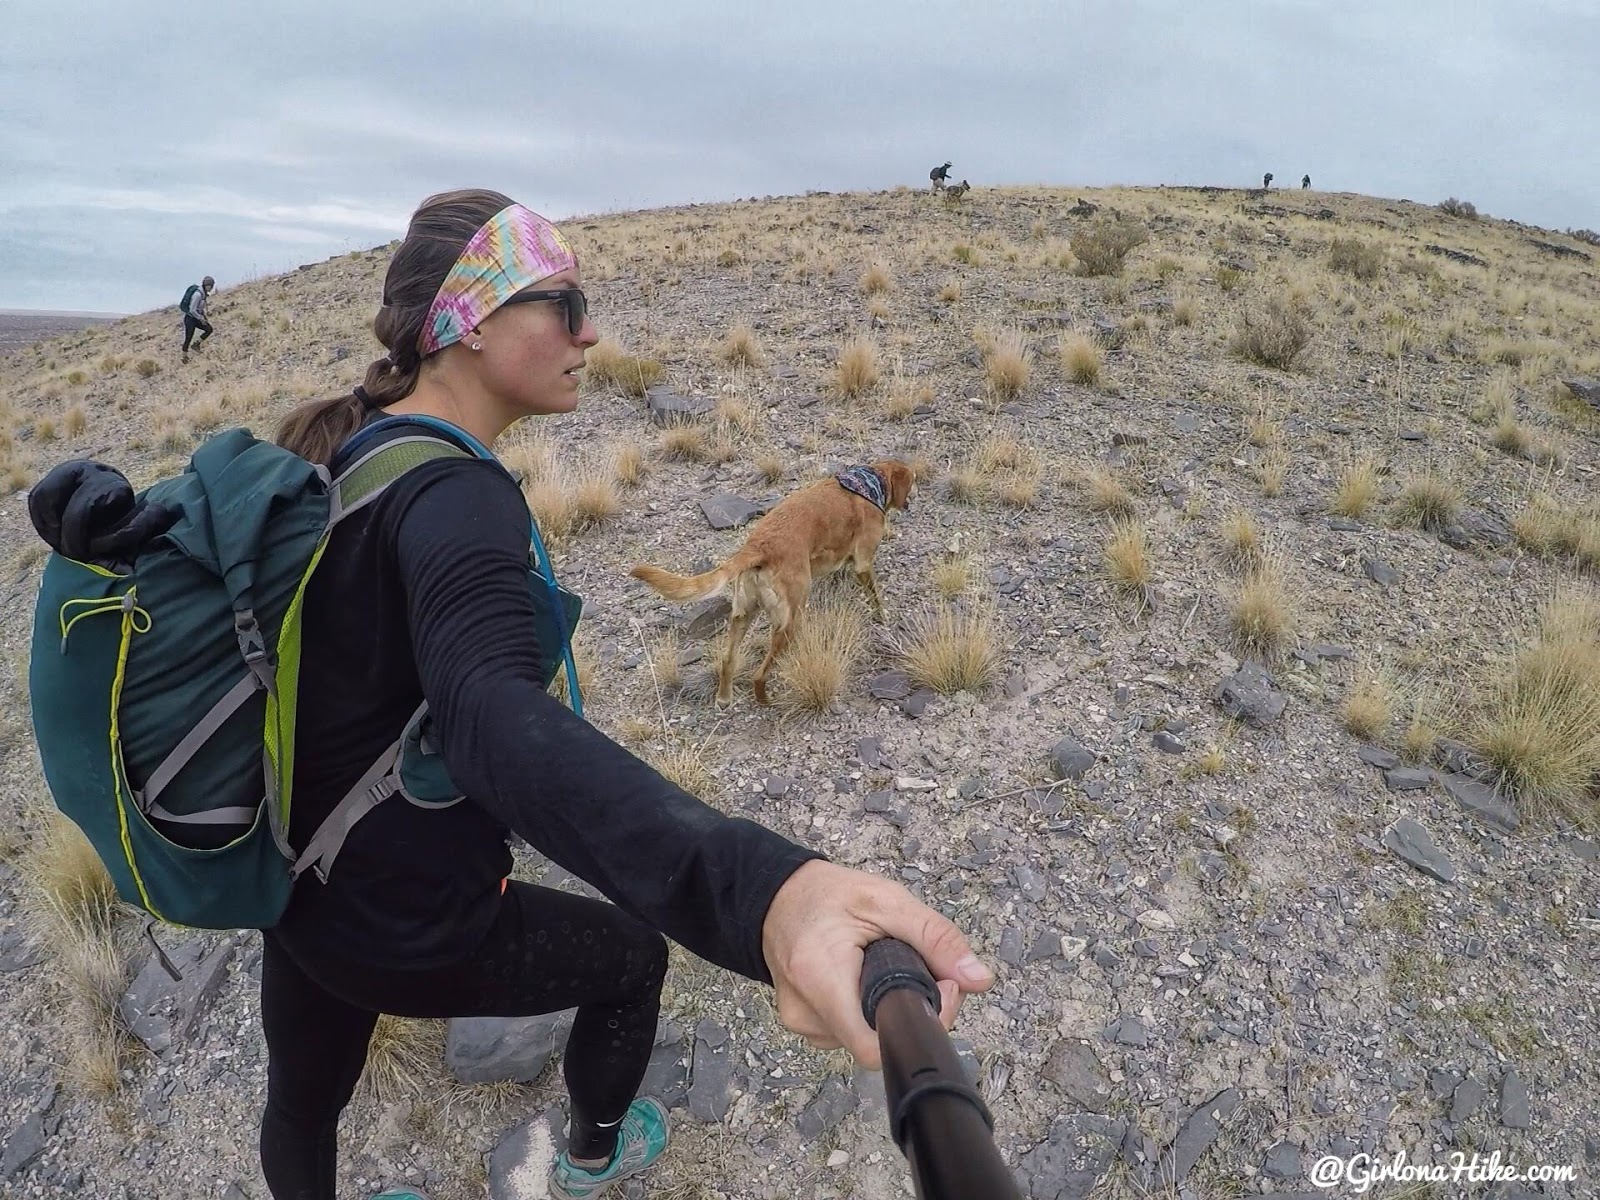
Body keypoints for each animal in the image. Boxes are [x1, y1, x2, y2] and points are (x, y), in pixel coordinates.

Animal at [630, 457, 921, 704]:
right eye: (913, 480)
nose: (915, 497)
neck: (871, 482)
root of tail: (757, 547)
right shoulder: (863, 563)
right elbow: (874, 596)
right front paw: (881, 616)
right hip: (790, 617)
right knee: (760, 674)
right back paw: (767, 700)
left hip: (742, 614)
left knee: (727, 660)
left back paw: (724, 698)